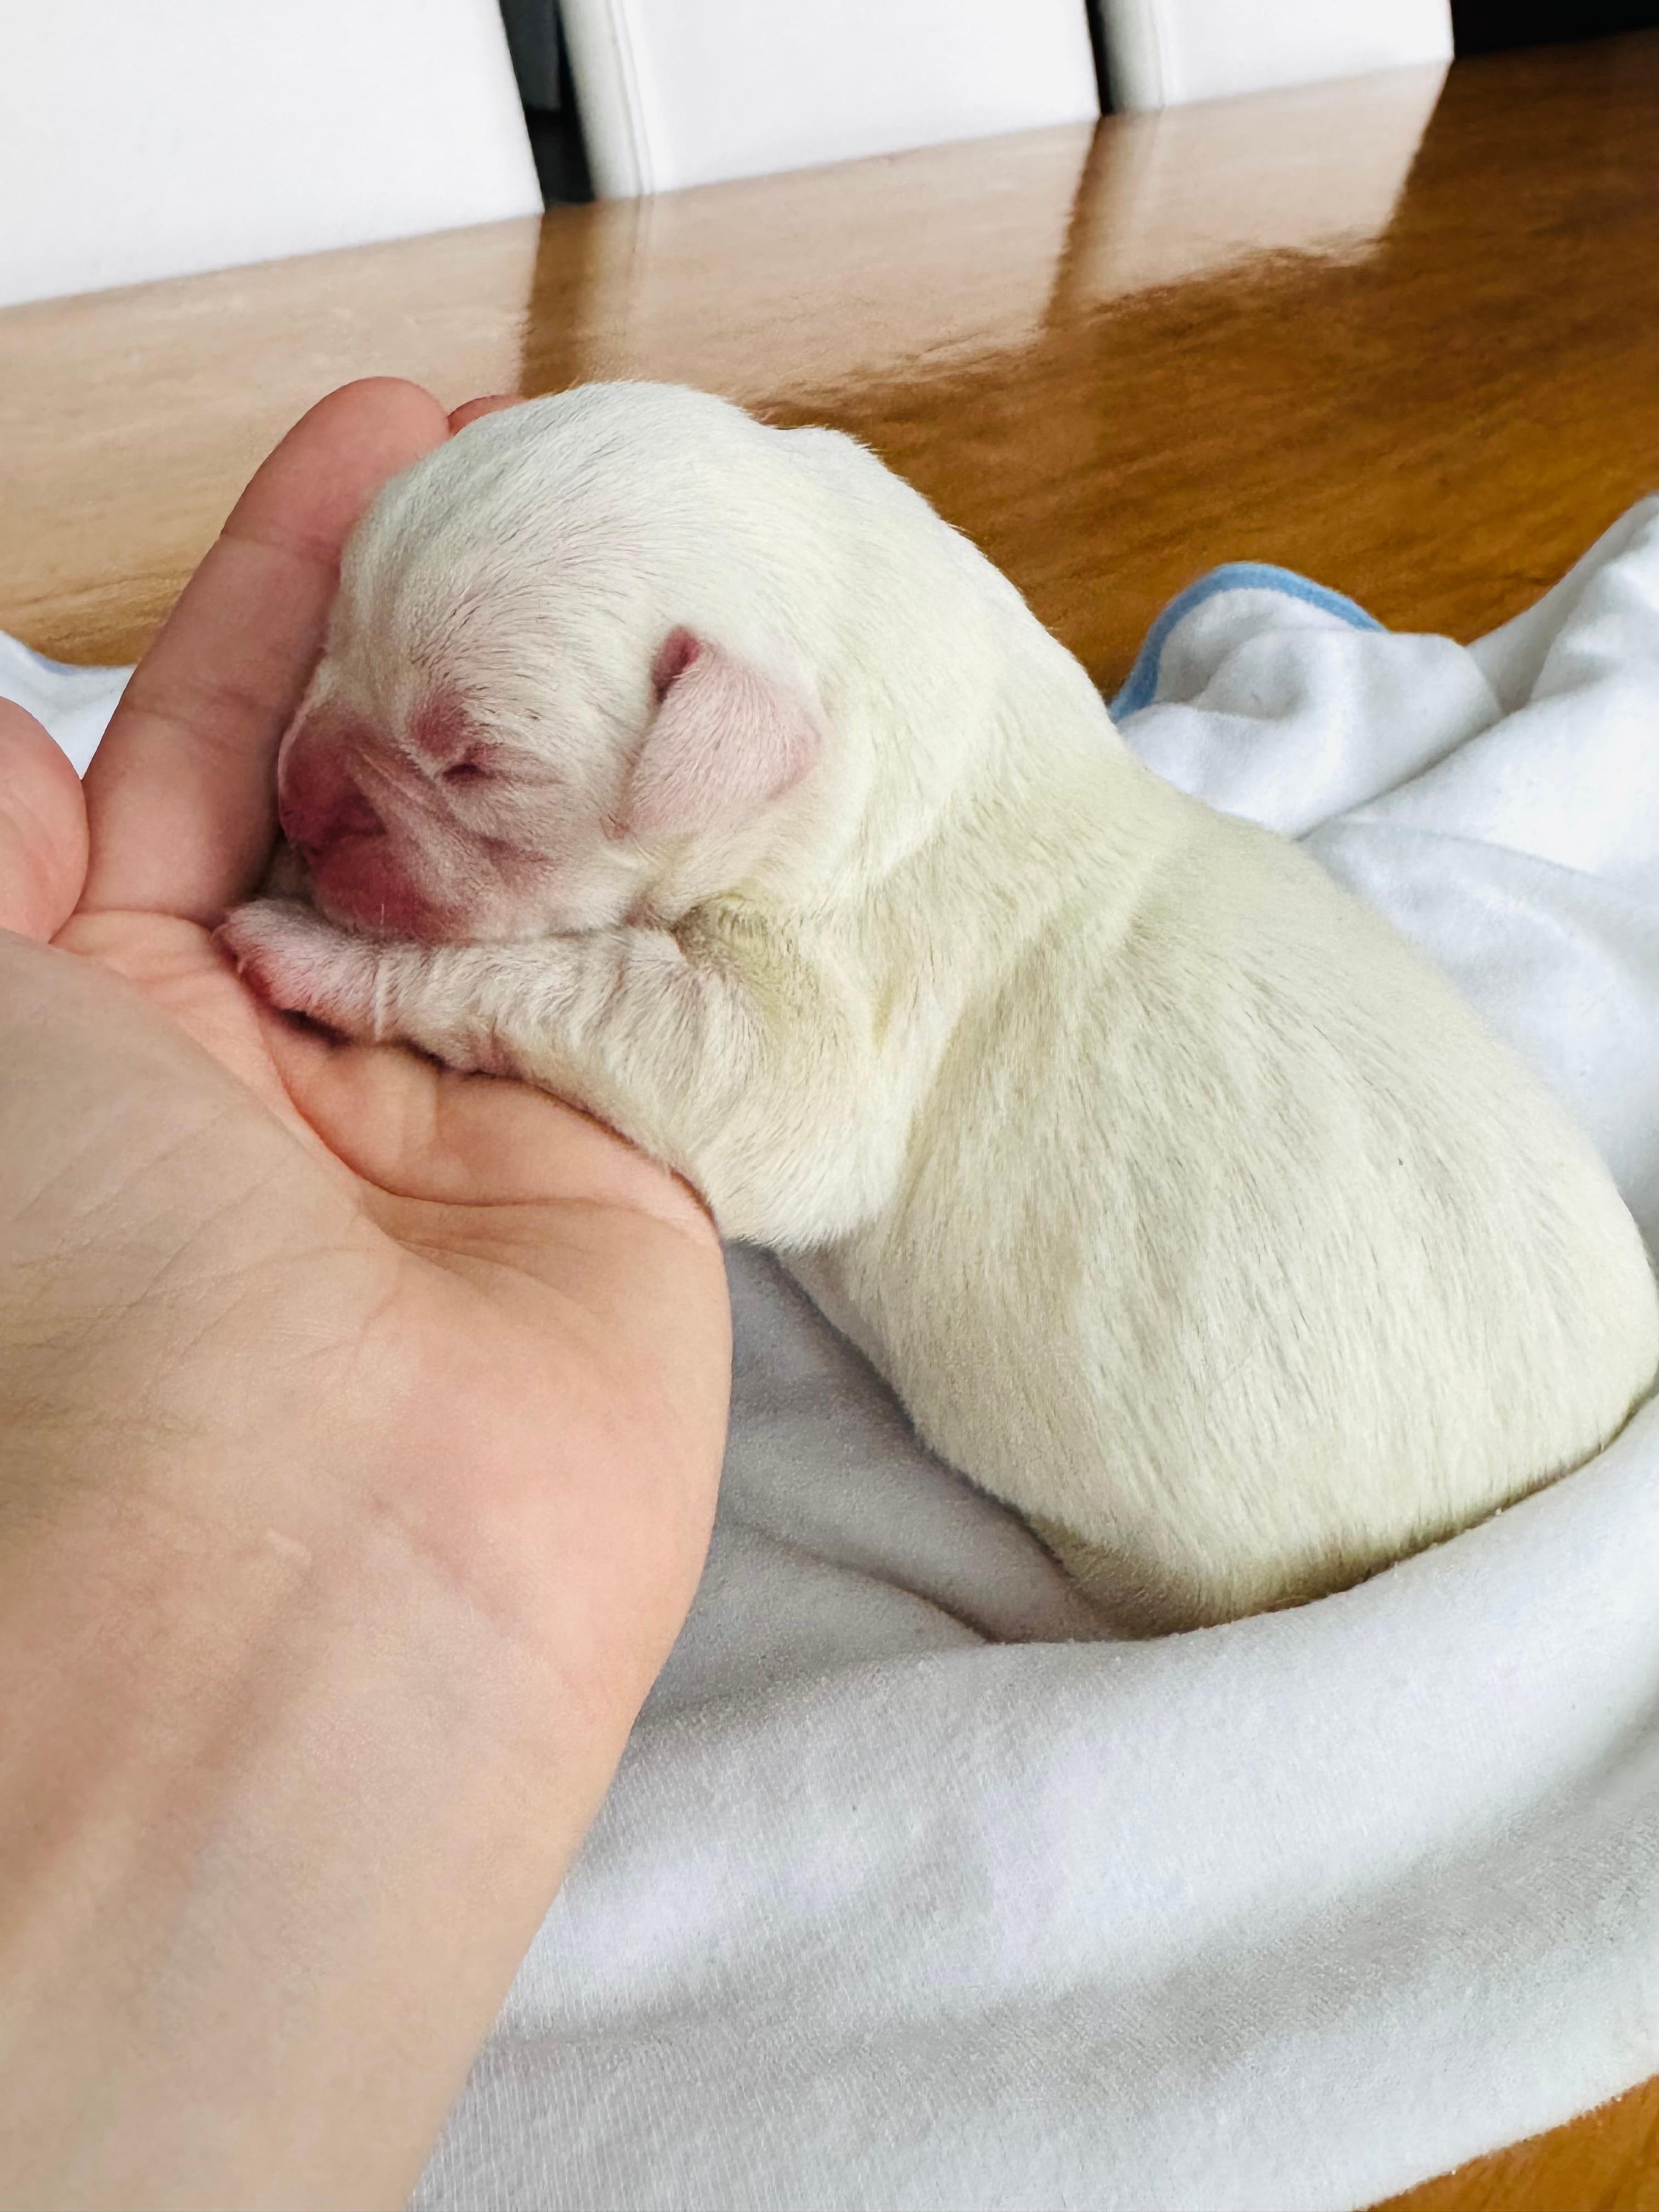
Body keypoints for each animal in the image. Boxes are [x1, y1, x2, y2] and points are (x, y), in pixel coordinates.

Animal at [224, 376, 1659, 1628]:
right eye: (331, 633)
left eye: (473, 761)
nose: (293, 795)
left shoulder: (822, 1024)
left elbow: (666, 1044)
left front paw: (307, 947)